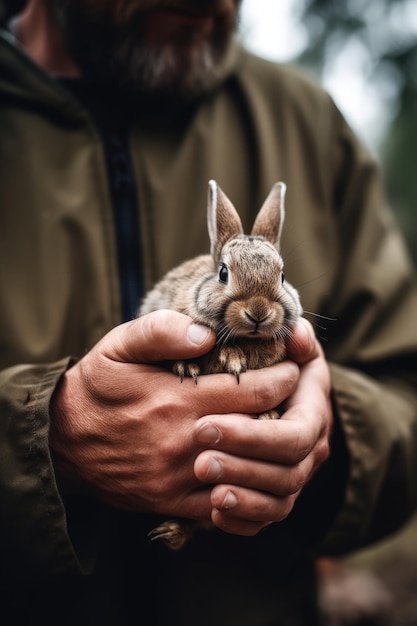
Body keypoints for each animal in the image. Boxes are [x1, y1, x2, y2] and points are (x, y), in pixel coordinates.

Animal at [138, 179, 300, 544]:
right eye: (224, 273)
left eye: (283, 277)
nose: (258, 311)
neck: (245, 339)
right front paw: (197, 367)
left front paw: (269, 416)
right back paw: (166, 534)